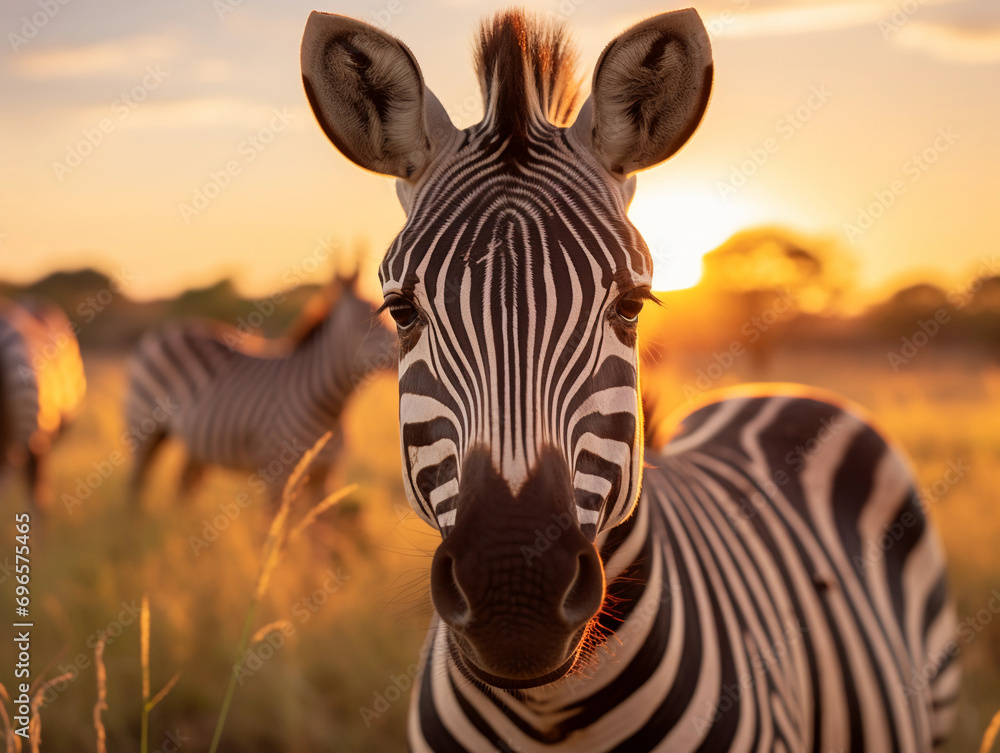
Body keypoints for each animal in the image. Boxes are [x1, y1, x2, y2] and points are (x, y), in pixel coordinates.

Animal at [125, 274, 396, 503]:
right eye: (373, 319)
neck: (331, 408)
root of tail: (169, 328)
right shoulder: (277, 474)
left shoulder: (326, 475)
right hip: (142, 425)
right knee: (137, 484)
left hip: (197, 444)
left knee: (183, 485)